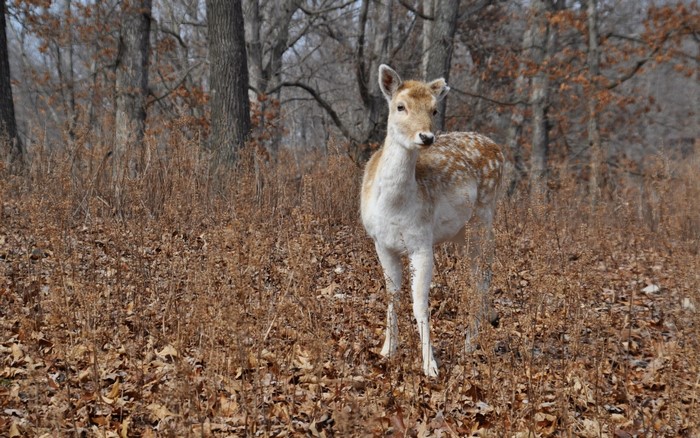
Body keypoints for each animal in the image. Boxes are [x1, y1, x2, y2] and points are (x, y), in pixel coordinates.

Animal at [360, 65, 504, 377]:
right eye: (400, 106)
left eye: (434, 109)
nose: (426, 137)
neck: (394, 208)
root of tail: (498, 148)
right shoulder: (381, 244)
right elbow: (392, 295)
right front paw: (387, 350)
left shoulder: (422, 243)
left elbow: (419, 304)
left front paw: (430, 366)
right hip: (461, 232)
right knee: (479, 275)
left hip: (484, 216)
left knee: (480, 275)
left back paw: (470, 343)